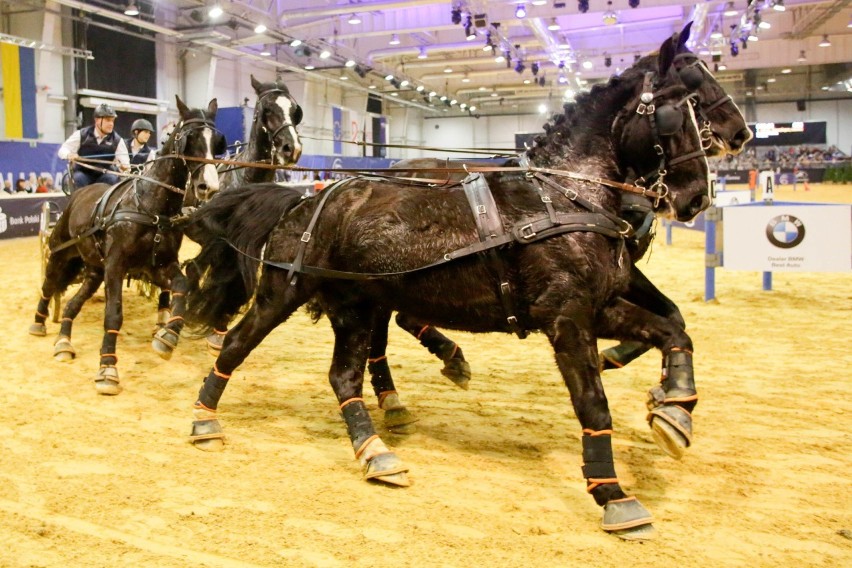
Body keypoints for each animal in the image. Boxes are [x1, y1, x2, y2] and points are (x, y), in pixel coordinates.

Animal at [29, 95, 223, 394]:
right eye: (189, 138)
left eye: (217, 141)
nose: (208, 187)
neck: (149, 206)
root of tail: (79, 194)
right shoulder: (116, 266)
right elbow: (114, 315)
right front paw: (107, 369)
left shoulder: (158, 266)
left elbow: (182, 287)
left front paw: (167, 336)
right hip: (60, 255)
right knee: (49, 286)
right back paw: (39, 323)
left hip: (94, 271)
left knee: (72, 304)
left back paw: (63, 342)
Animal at [155, 75, 304, 350]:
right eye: (267, 110)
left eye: (294, 110)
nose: (292, 148)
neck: (243, 181)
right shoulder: (217, 243)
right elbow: (197, 272)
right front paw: (188, 316)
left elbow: (235, 284)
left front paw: (218, 328)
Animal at [185, 32, 712, 540]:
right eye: (677, 109)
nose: (696, 198)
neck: (562, 197)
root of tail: (304, 198)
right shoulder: (567, 318)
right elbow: (594, 405)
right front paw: (615, 495)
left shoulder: (598, 307)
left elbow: (673, 331)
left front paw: (675, 412)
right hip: (282, 293)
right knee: (237, 343)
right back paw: (205, 417)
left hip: (355, 307)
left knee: (344, 377)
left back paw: (376, 451)